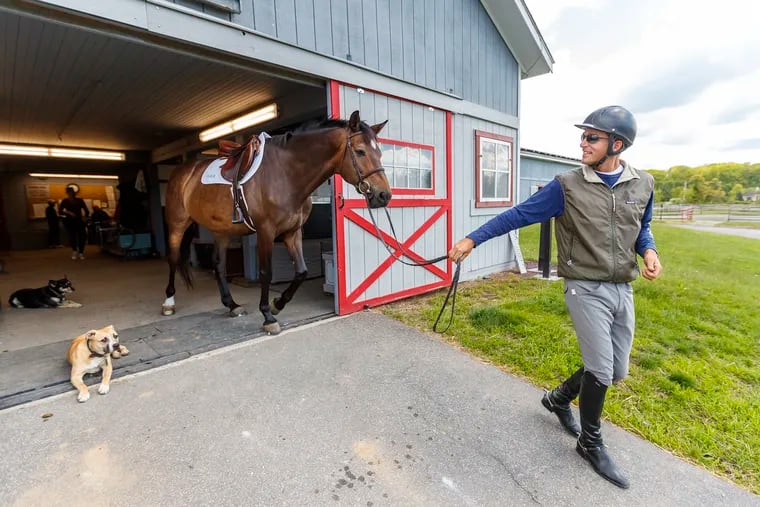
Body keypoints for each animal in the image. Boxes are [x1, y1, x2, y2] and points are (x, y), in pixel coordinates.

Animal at [162, 110, 391, 334]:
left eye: (380, 153)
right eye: (360, 151)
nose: (383, 195)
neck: (286, 174)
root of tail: (182, 172)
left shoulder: (292, 232)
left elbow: (301, 271)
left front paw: (276, 304)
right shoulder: (266, 232)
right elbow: (266, 273)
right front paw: (267, 315)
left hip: (221, 230)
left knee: (218, 264)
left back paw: (232, 305)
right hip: (177, 224)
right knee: (173, 258)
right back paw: (168, 302)